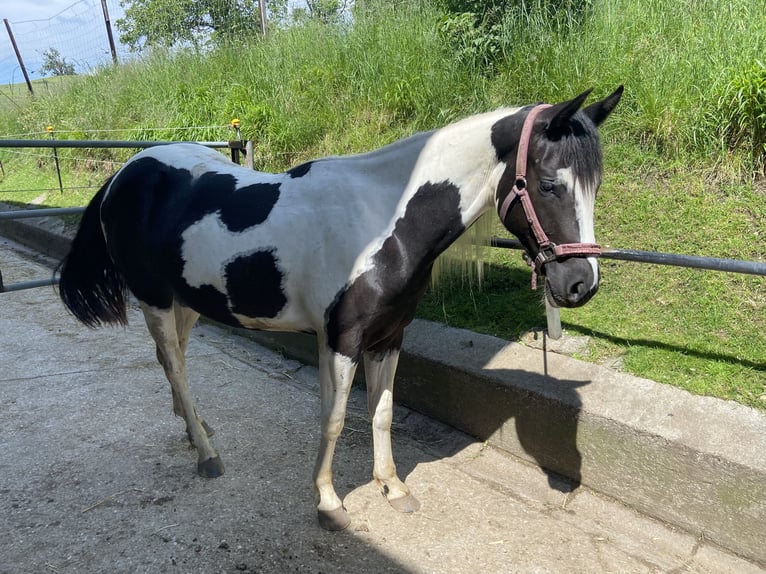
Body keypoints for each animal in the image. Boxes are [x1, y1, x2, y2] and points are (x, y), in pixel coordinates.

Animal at [58, 88, 624, 532]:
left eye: (594, 186)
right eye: (549, 184)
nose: (580, 285)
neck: (383, 220)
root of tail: (123, 174)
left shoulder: (388, 337)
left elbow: (382, 413)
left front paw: (392, 488)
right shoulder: (342, 341)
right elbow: (333, 420)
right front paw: (329, 503)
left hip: (187, 301)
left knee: (172, 359)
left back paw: (195, 427)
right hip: (153, 298)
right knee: (174, 364)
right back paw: (206, 455)